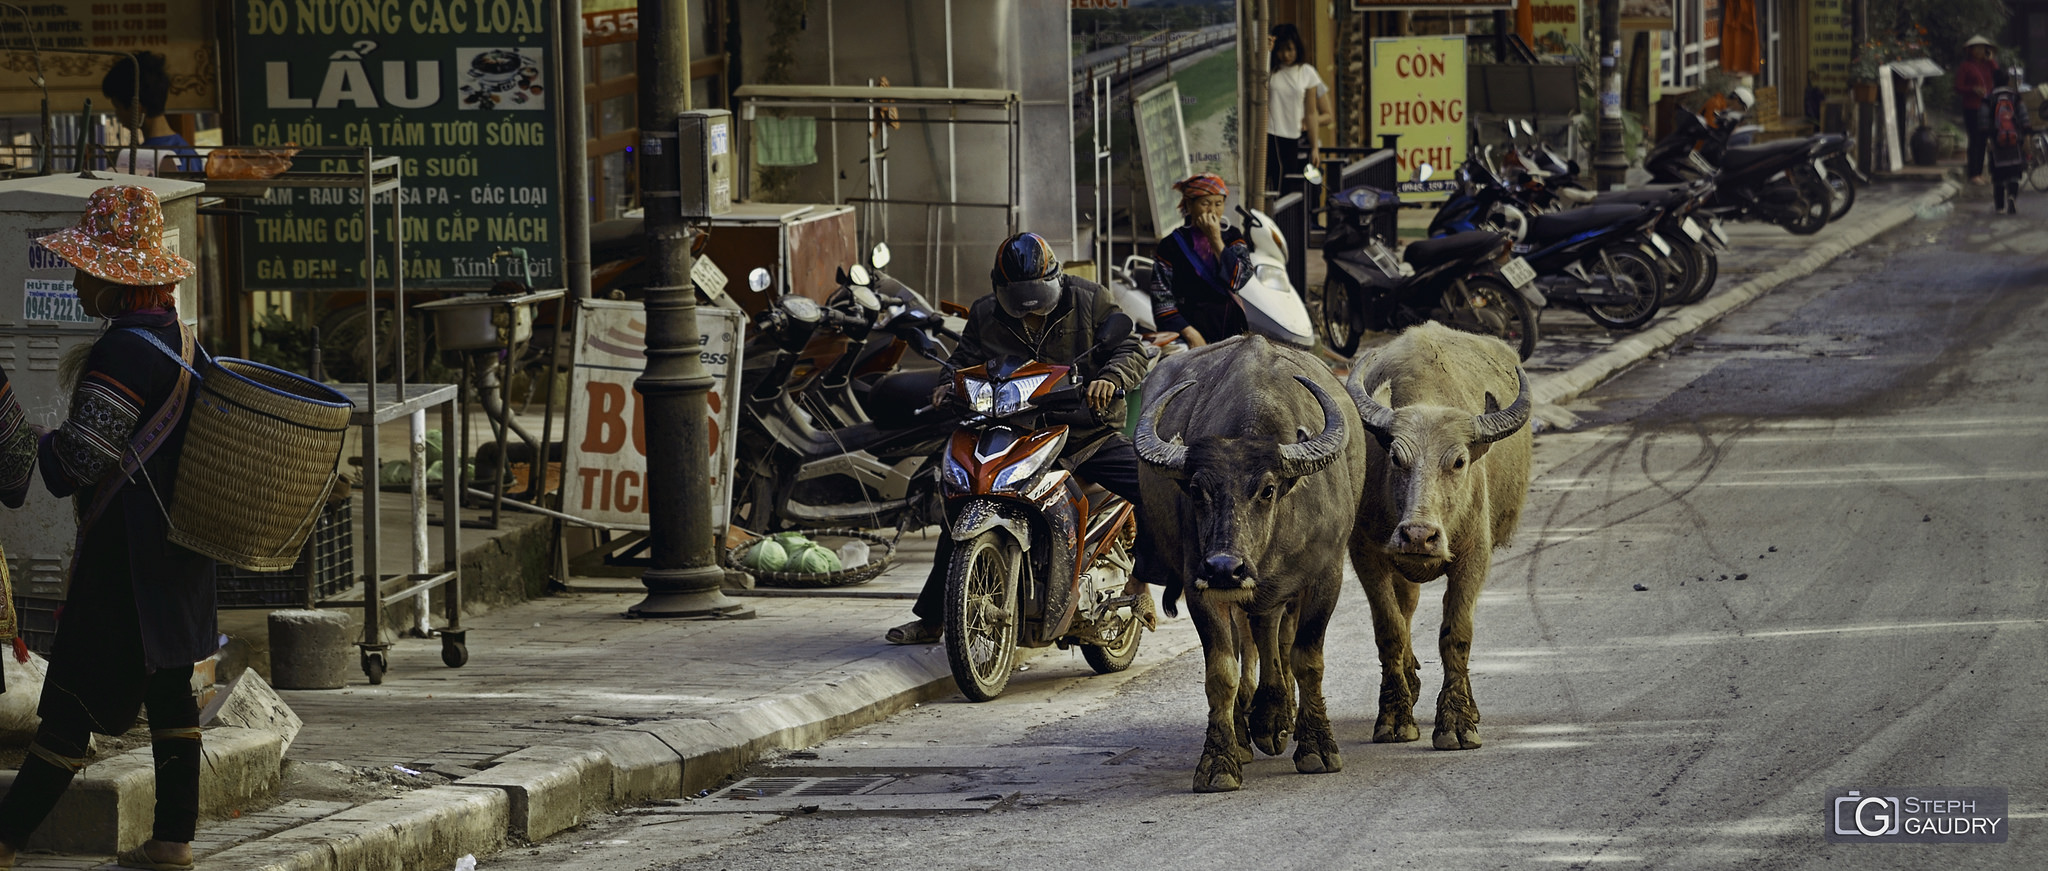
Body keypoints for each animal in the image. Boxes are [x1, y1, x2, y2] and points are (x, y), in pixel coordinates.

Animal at [1130, 334, 1368, 795]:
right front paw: (1219, 761)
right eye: (1197, 490)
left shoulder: (1325, 575)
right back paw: (1256, 725)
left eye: (1268, 489)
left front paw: (1316, 746)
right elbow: (1222, 671)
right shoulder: (1200, 584)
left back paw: (1275, 717)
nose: (1225, 567)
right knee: (1257, 635)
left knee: (1276, 634)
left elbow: (1307, 657)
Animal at [1335, 321, 1531, 750]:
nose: (1419, 536)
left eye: (1458, 461)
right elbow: (1390, 630)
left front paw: (1457, 722)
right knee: (1406, 609)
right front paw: (1394, 716)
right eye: (1395, 457)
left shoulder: (1474, 556)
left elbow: (1456, 634)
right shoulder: (1367, 555)